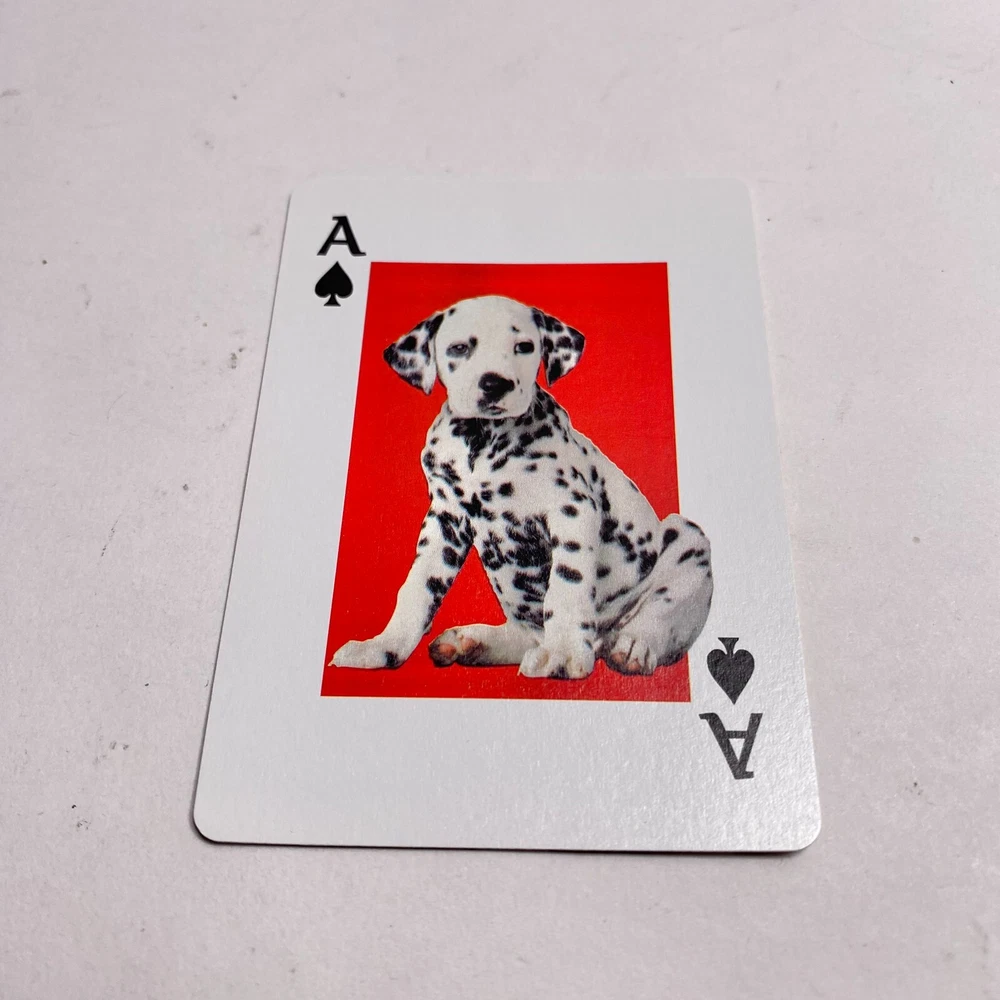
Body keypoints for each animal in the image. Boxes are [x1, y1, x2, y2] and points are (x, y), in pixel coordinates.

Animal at [331, 295, 713, 679]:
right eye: (459, 348)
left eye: (524, 347)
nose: (494, 384)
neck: (482, 441)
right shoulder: (445, 523)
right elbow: (417, 588)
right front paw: (382, 648)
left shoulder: (571, 509)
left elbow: (567, 584)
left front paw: (565, 652)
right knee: (526, 636)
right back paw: (472, 643)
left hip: (686, 539)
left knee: (657, 612)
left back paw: (632, 645)